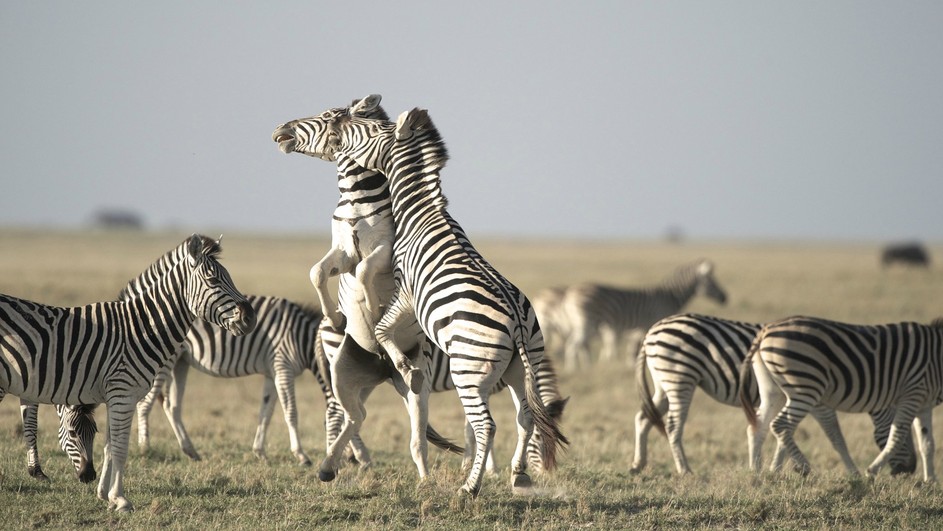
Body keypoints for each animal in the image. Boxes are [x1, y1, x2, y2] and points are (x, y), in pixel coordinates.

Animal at [0, 236, 256, 512]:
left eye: (228, 277)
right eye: (213, 280)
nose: (251, 318)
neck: (141, 328)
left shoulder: (115, 395)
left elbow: (110, 447)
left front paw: (105, 494)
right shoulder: (123, 392)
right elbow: (121, 449)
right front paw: (121, 499)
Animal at [272, 93, 568, 496]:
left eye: (362, 128)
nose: (280, 130)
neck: (419, 211)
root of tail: (519, 322)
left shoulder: (403, 286)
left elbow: (379, 315)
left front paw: (383, 328)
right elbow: (326, 276)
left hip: (464, 371)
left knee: (478, 425)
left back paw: (466, 486)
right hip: (519, 368)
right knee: (522, 417)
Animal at [536, 258, 728, 370]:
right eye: (712, 282)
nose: (725, 298)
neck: (668, 297)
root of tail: (570, 294)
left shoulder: (637, 329)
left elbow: (631, 349)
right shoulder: (652, 323)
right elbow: (639, 349)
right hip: (584, 323)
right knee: (573, 345)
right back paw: (575, 370)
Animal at [636, 314, 916, 476]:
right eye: (904, 436)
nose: (910, 471)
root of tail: (652, 331)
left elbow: (781, 434)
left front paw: (775, 469)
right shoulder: (817, 400)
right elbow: (830, 433)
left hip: (663, 382)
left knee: (643, 418)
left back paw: (638, 464)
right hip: (679, 377)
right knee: (672, 425)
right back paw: (685, 470)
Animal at [736, 316, 943, 482]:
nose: (908, 470)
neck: (937, 356)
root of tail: (765, 331)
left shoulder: (923, 403)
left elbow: (927, 443)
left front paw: (931, 481)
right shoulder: (913, 392)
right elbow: (896, 435)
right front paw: (872, 471)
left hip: (773, 390)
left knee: (758, 426)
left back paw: (756, 472)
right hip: (806, 387)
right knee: (780, 425)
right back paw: (805, 468)